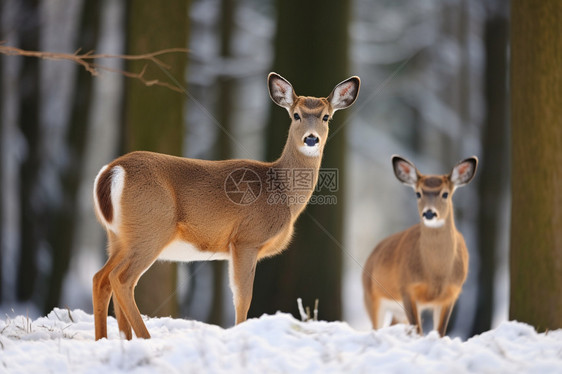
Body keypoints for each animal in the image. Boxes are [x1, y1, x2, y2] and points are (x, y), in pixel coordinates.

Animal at [89, 71, 356, 340]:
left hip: (118, 236)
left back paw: (110, 339)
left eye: (326, 116)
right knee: (121, 279)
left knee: (101, 277)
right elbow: (242, 297)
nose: (311, 138)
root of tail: (112, 171)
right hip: (150, 228)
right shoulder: (246, 239)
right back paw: (144, 338)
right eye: (296, 115)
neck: (282, 192)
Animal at [360, 154, 474, 336]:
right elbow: (418, 331)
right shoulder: (407, 287)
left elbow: (440, 332)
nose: (429, 213)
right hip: (371, 295)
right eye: (418, 193)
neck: (436, 275)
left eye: (445, 194)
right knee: (376, 327)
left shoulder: (452, 293)